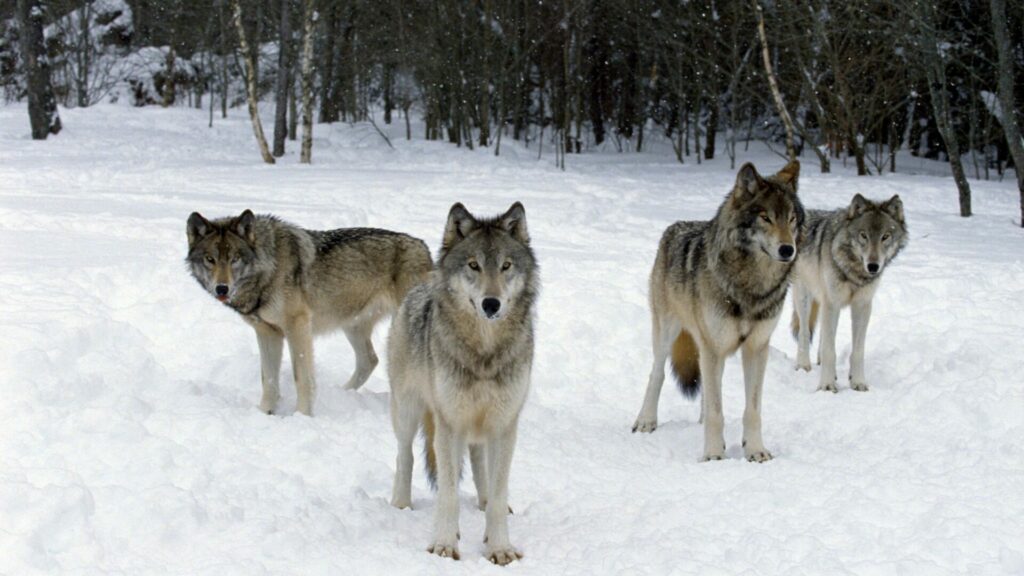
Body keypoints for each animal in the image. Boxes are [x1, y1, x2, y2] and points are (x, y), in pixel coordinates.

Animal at [186, 208, 430, 414]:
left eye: (235, 259)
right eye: (210, 259)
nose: (222, 288)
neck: (269, 268)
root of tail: (423, 247)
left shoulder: (298, 326)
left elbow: (302, 378)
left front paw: (302, 415)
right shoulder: (267, 332)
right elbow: (268, 380)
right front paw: (265, 413)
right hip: (352, 326)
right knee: (369, 361)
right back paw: (342, 393)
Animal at [387, 201, 540, 565]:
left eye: (506, 266)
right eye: (473, 265)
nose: (491, 303)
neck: (484, 352)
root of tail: (419, 286)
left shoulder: (504, 424)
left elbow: (498, 494)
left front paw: (499, 547)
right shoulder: (449, 424)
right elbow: (448, 494)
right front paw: (444, 545)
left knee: (479, 463)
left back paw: (482, 503)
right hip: (408, 411)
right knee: (405, 455)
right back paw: (401, 504)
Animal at [626, 159, 802, 461]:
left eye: (791, 219)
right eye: (765, 218)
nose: (787, 249)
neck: (751, 286)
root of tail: (674, 227)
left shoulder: (756, 347)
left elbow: (752, 410)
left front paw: (755, 450)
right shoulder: (714, 347)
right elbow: (717, 412)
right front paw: (712, 455)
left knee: (708, 390)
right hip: (669, 333)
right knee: (658, 374)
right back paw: (646, 421)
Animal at [786, 192, 909, 389]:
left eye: (885, 236)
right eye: (864, 236)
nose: (873, 266)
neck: (855, 272)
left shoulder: (862, 306)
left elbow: (857, 351)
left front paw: (858, 382)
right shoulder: (832, 303)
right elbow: (830, 350)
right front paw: (827, 386)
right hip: (804, 297)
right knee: (805, 332)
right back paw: (804, 365)